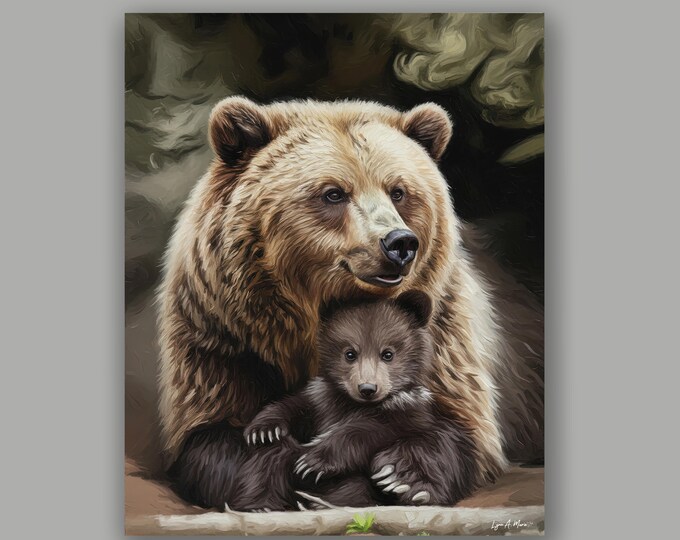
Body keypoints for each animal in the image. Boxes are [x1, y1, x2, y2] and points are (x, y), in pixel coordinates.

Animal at [228, 290, 476, 511]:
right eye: (350, 353)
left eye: (388, 354)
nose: (367, 388)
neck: (355, 404)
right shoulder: (322, 400)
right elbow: (295, 407)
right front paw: (263, 429)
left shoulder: (407, 410)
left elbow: (368, 430)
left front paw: (313, 461)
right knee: (271, 458)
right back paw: (261, 505)